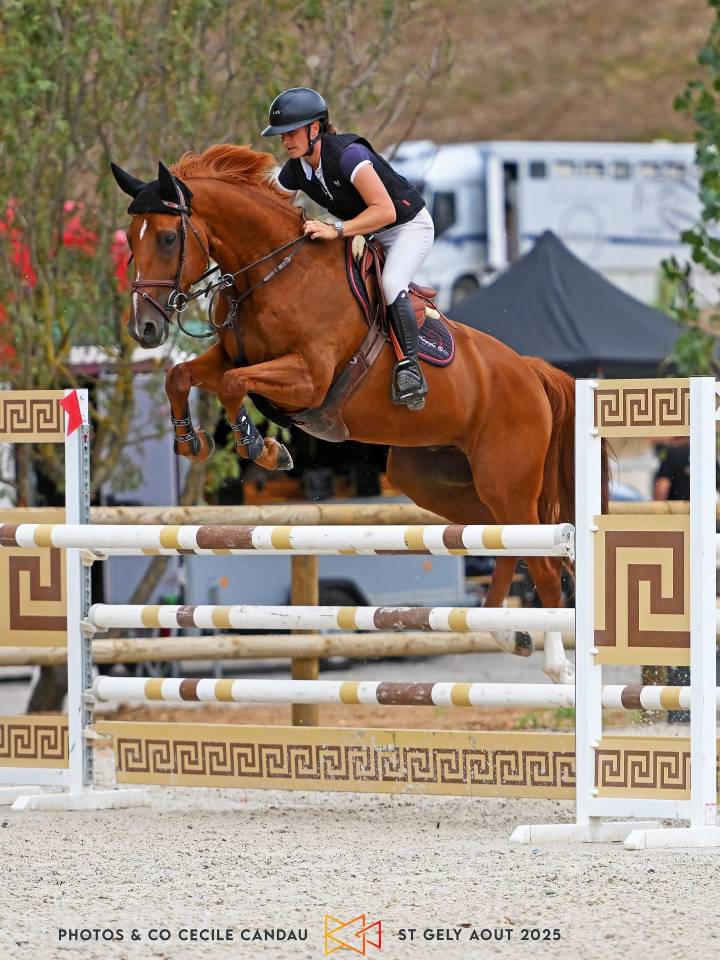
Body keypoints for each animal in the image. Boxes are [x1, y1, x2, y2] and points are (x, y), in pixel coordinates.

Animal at [112, 144, 605, 684]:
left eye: (168, 237)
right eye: (131, 243)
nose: (146, 329)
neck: (273, 272)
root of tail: (529, 371)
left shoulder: (308, 377)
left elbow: (232, 384)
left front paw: (263, 448)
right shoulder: (230, 355)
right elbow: (181, 377)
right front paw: (191, 441)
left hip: (507, 481)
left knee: (543, 561)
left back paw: (558, 664)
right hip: (436, 481)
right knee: (500, 541)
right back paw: (504, 631)